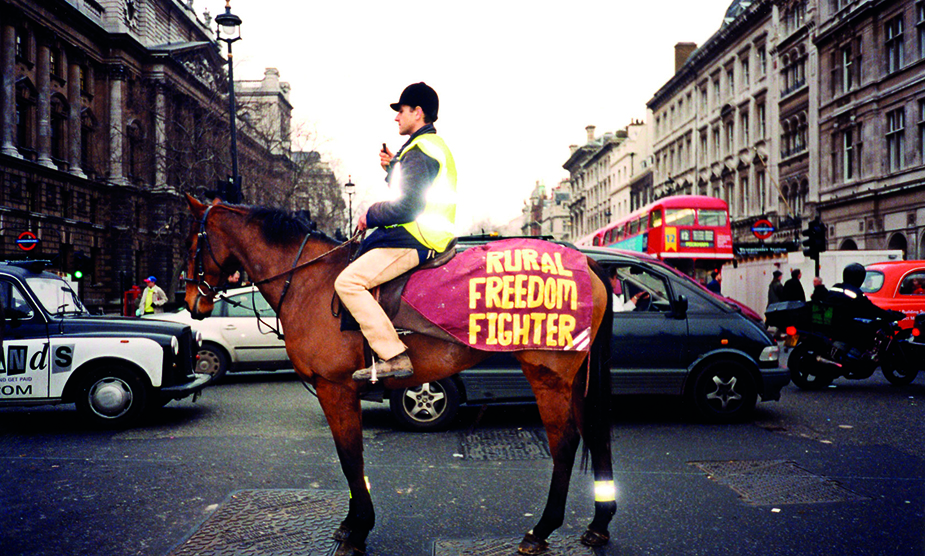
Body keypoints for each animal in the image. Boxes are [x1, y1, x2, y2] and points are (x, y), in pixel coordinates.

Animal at [180, 193, 612, 552]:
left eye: (192, 244)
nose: (191, 303)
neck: (309, 281)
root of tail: (585, 260)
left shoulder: (334, 388)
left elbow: (349, 456)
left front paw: (358, 529)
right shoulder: (342, 391)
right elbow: (351, 457)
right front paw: (352, 523)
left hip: (548, 375)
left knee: (565, 444)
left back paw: (541, 531)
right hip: (575, 378)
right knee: (594, 433)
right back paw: (598, 525)